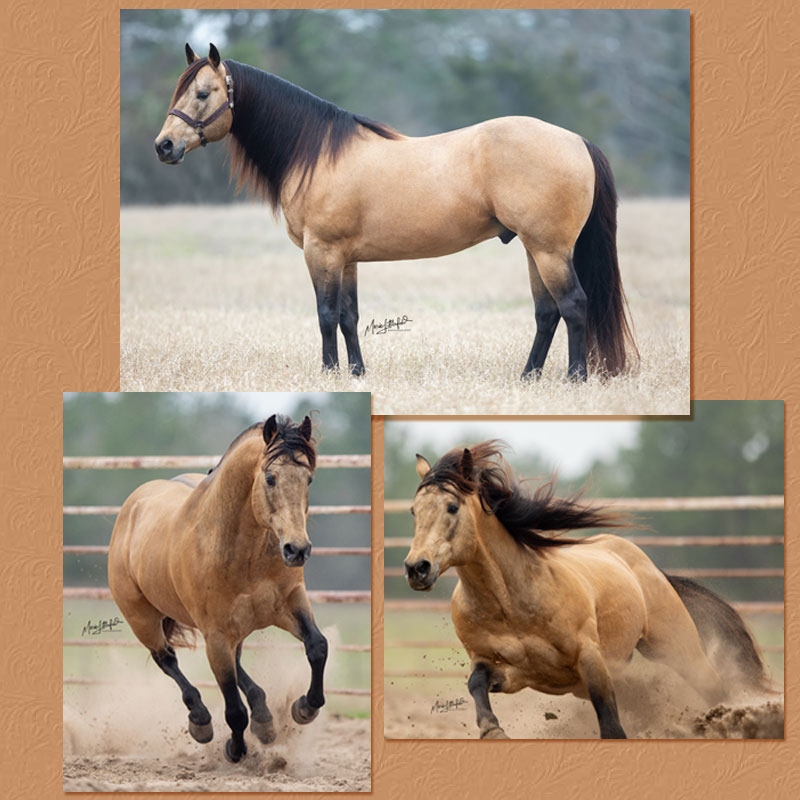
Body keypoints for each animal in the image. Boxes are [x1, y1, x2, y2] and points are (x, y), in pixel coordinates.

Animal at [108, 414, 328, 762]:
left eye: (308, 479)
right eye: (270, 478)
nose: (297, 549)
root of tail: (131, 509)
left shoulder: (290, 604)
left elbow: (317, 646)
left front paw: (304, 708)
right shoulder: (215, 633)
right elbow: (233, 710)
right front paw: (234, 750)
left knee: (236, 664)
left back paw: (264, 719)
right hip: (142, 619)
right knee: (166, 659)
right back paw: (201, 721)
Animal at [154, 43, 638, 381]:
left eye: (203, 93)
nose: (164, 146)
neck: (316, 154)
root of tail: (577, 140)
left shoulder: (321, 252)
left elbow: (325, 315)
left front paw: (329, 374)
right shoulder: (346, 259)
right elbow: (348, 317)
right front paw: (356, 374)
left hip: (550, 250)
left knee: (573, 305)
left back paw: (574, 378)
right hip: (536, 250)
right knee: (547, 312)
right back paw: (528, 377)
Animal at [404, 441, 770, 739]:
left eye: (452, 506)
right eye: (413, 511)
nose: (416, 568)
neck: (510, 601)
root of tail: (644, 564)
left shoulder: (590, 659)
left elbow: (610, 725)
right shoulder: (507, 670)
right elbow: (476, 682)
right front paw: (492, 731)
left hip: (675, 647)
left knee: (713, 685)